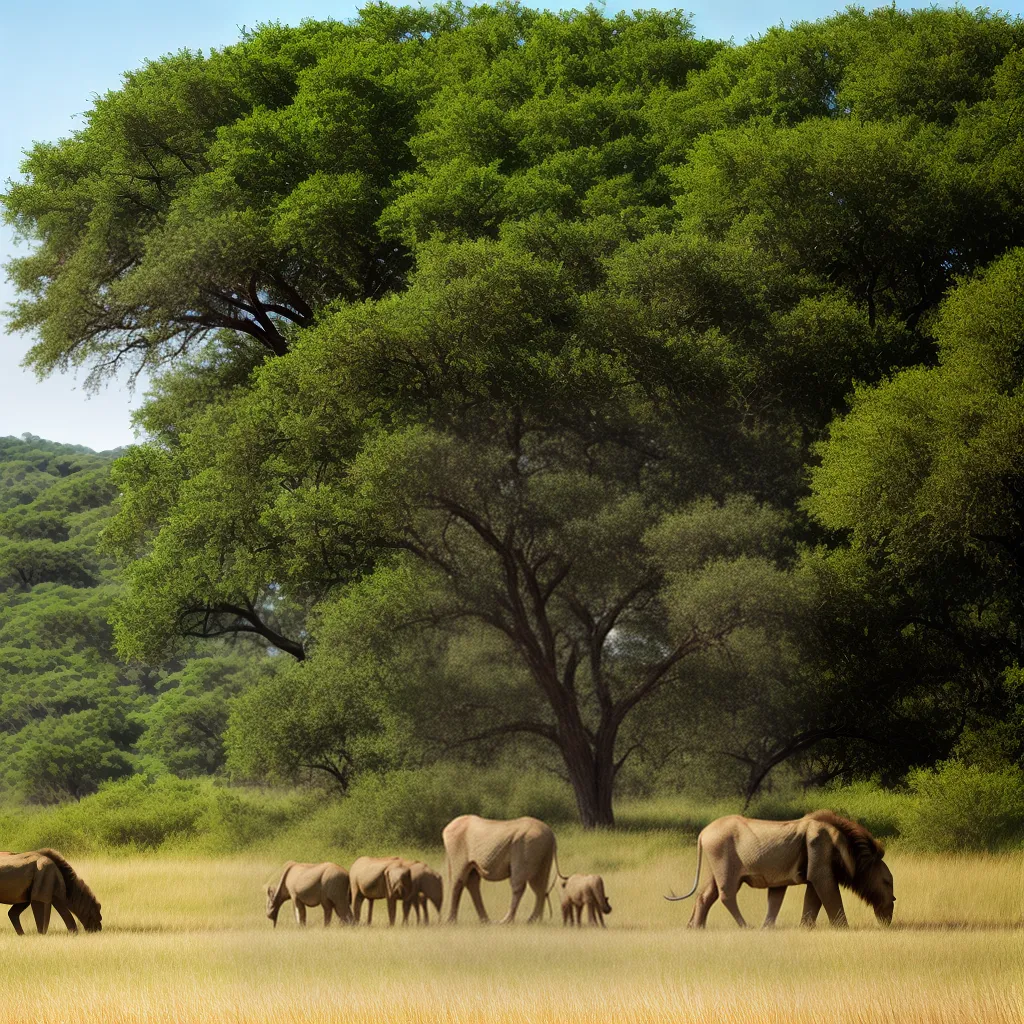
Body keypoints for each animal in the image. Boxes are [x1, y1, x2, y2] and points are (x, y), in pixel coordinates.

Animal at [665, 809, 894, 929]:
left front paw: (803, 929)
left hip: (715, 871)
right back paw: (746, 927)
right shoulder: (821, 867)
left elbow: (808, 901)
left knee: (705, 896)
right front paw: (843, 929)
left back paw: (696, 928)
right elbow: (831, 899)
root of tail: (703, 833)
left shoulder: (813, 872)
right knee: (726, 895)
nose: (888, 917)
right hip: (726, 868)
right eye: (887, 882)